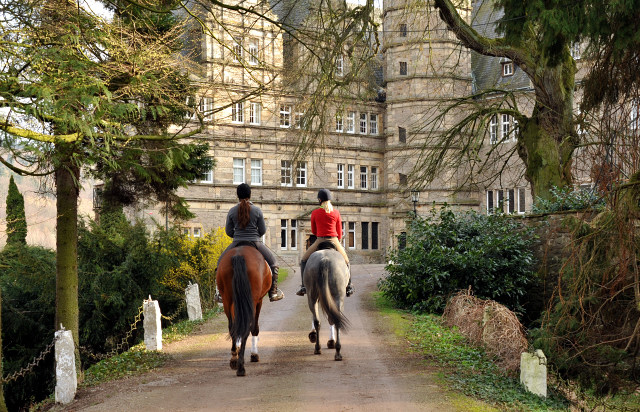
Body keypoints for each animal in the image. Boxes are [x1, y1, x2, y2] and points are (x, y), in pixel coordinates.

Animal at [215, 245, 270, 376]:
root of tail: (239, 254)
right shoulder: (259, 301)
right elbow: (254, 328)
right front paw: (254, 355)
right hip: (252, 301)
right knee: (247, 327)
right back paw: (241, 367)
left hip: (227, 299)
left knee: (232, 327)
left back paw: (234, 359)